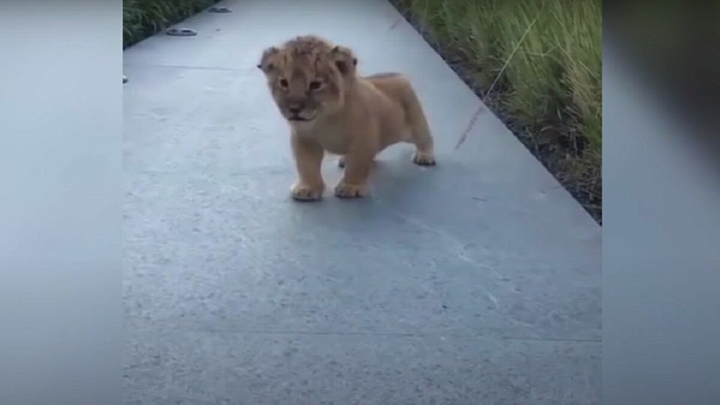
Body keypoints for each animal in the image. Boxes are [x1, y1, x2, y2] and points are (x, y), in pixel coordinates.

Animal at [257, 34, 436, 201]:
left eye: (315, 85)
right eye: (284, 83)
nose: (294, 109)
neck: (325, 119)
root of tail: (397, 75)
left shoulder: (363, 139)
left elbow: (357, 165)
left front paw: (350, 188)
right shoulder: (304, 139)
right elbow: (306, 165)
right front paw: (307, 189)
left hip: (415, 122)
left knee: (425, 138)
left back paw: (424, 156)